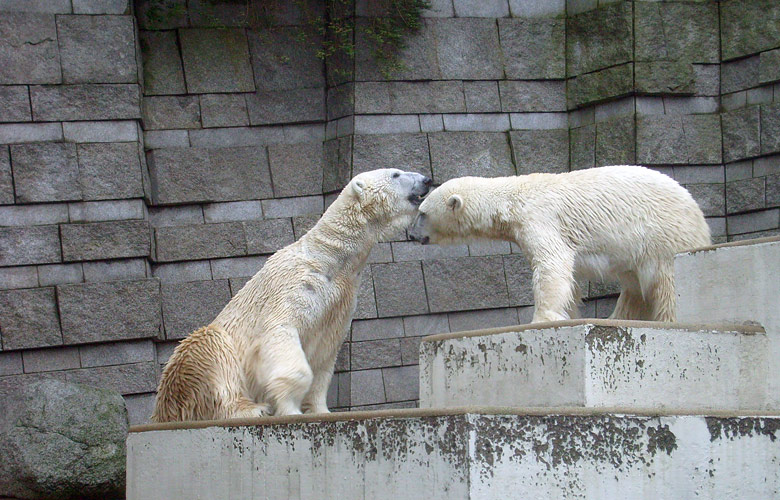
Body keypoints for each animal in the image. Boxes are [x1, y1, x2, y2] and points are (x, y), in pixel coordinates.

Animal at [152, 169, 432, 422]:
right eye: (396, 174)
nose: (427, 179)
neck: (329, 260)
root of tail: (162, 413)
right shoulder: (294, 287)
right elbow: (282, 333)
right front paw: (289, 407)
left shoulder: (340, 301)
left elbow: (324, 356)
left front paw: (321, 410)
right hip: (198, 361)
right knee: (212, 351)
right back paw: (251, 409)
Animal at [412, 165, 708, 324]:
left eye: (422, 213)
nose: (412, 236)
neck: (512, 201)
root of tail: (698, 214)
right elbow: (571, 277)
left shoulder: (540, 219)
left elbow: (551, 265)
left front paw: (542, 318)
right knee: (635, 288)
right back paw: (617, 318)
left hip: (665, 239)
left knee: (666, 285)